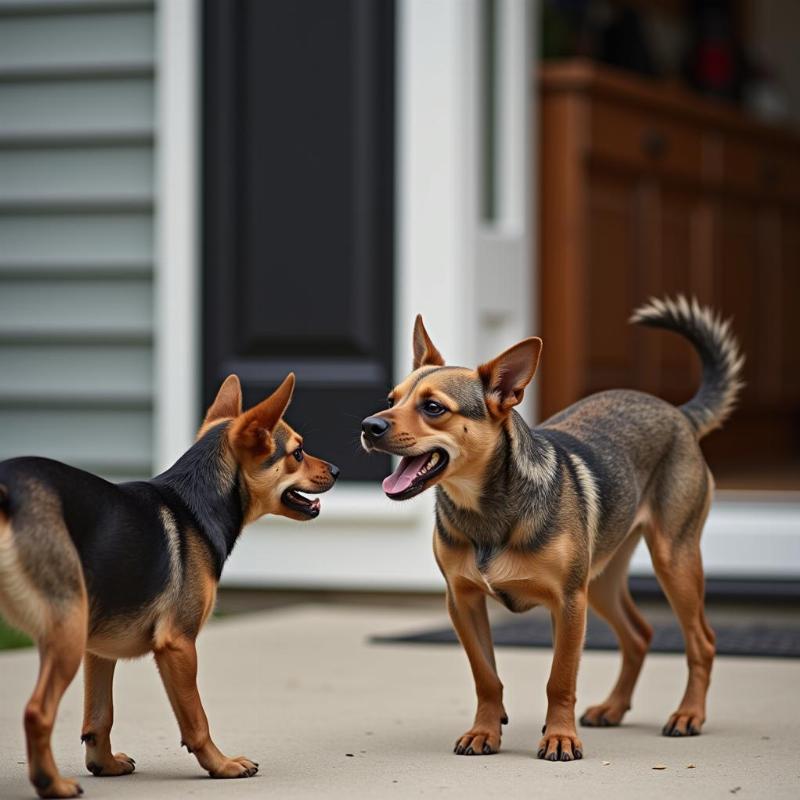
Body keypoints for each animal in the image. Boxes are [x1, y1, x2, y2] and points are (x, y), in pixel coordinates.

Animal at [0, 372, 338, 796]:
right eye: (298, 452)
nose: (337, 469)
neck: (197, 500)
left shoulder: (99, 650)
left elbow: (100, 716)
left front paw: (103, 764)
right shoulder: (178, 644)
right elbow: (196, 719)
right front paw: (222, 765)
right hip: (66, 634)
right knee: (37, 711)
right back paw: (52, 783)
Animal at [362, 298, 744, 764]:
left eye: (433, 408)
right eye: (390, 400)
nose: (368, 426)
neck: (486, 507)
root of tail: (677, 413)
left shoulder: (568, 603)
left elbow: (560, 679)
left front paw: (560, 737)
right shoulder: (463, 602)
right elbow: (486, 677)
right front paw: (484, 731)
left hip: (673, 562)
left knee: (701, 642)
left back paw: (689, 714)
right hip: (601, 580)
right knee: (639, 635)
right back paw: (614, 707)